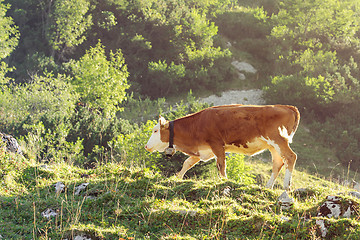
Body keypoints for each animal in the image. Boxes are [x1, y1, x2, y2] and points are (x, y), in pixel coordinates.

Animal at [145, 104, 300, 190]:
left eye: (155, 130)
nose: (146, 146)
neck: (196, 125)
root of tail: (287, 107)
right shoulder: (201, 150)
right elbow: (187, 163)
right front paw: (178, 177)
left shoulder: (217, 144)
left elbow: (221, 165)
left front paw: (224, 181)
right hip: (272, 145)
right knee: (278, 162)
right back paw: (268, 187)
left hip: (278, 139)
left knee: (290, 157)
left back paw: (286, 186)